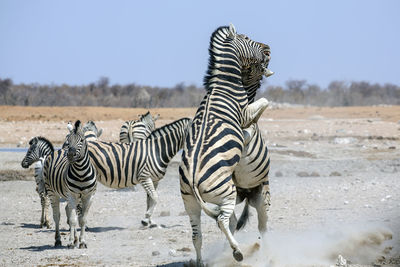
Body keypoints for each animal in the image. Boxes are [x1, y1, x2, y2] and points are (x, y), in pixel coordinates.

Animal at [63, 120, 97, 250]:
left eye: (82, 140)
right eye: (68, 140)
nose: (70, 154)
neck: (81, 173)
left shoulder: (89, 196)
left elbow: (82, 220)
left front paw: (82, 242)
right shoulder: (72, 195)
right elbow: (73, 220)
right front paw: (71, 242)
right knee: (69, 212)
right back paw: (74, 239)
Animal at [179, 23, 270, 266]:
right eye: (247, 38)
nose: (268, 48)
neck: (223, 82)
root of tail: (193, 179)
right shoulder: (244, 111)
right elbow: (264, 103)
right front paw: (250, 128)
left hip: (189, 201)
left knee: (197, 234)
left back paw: (201, 261)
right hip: (226, 194)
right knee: (222, 220)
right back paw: (237, 252)